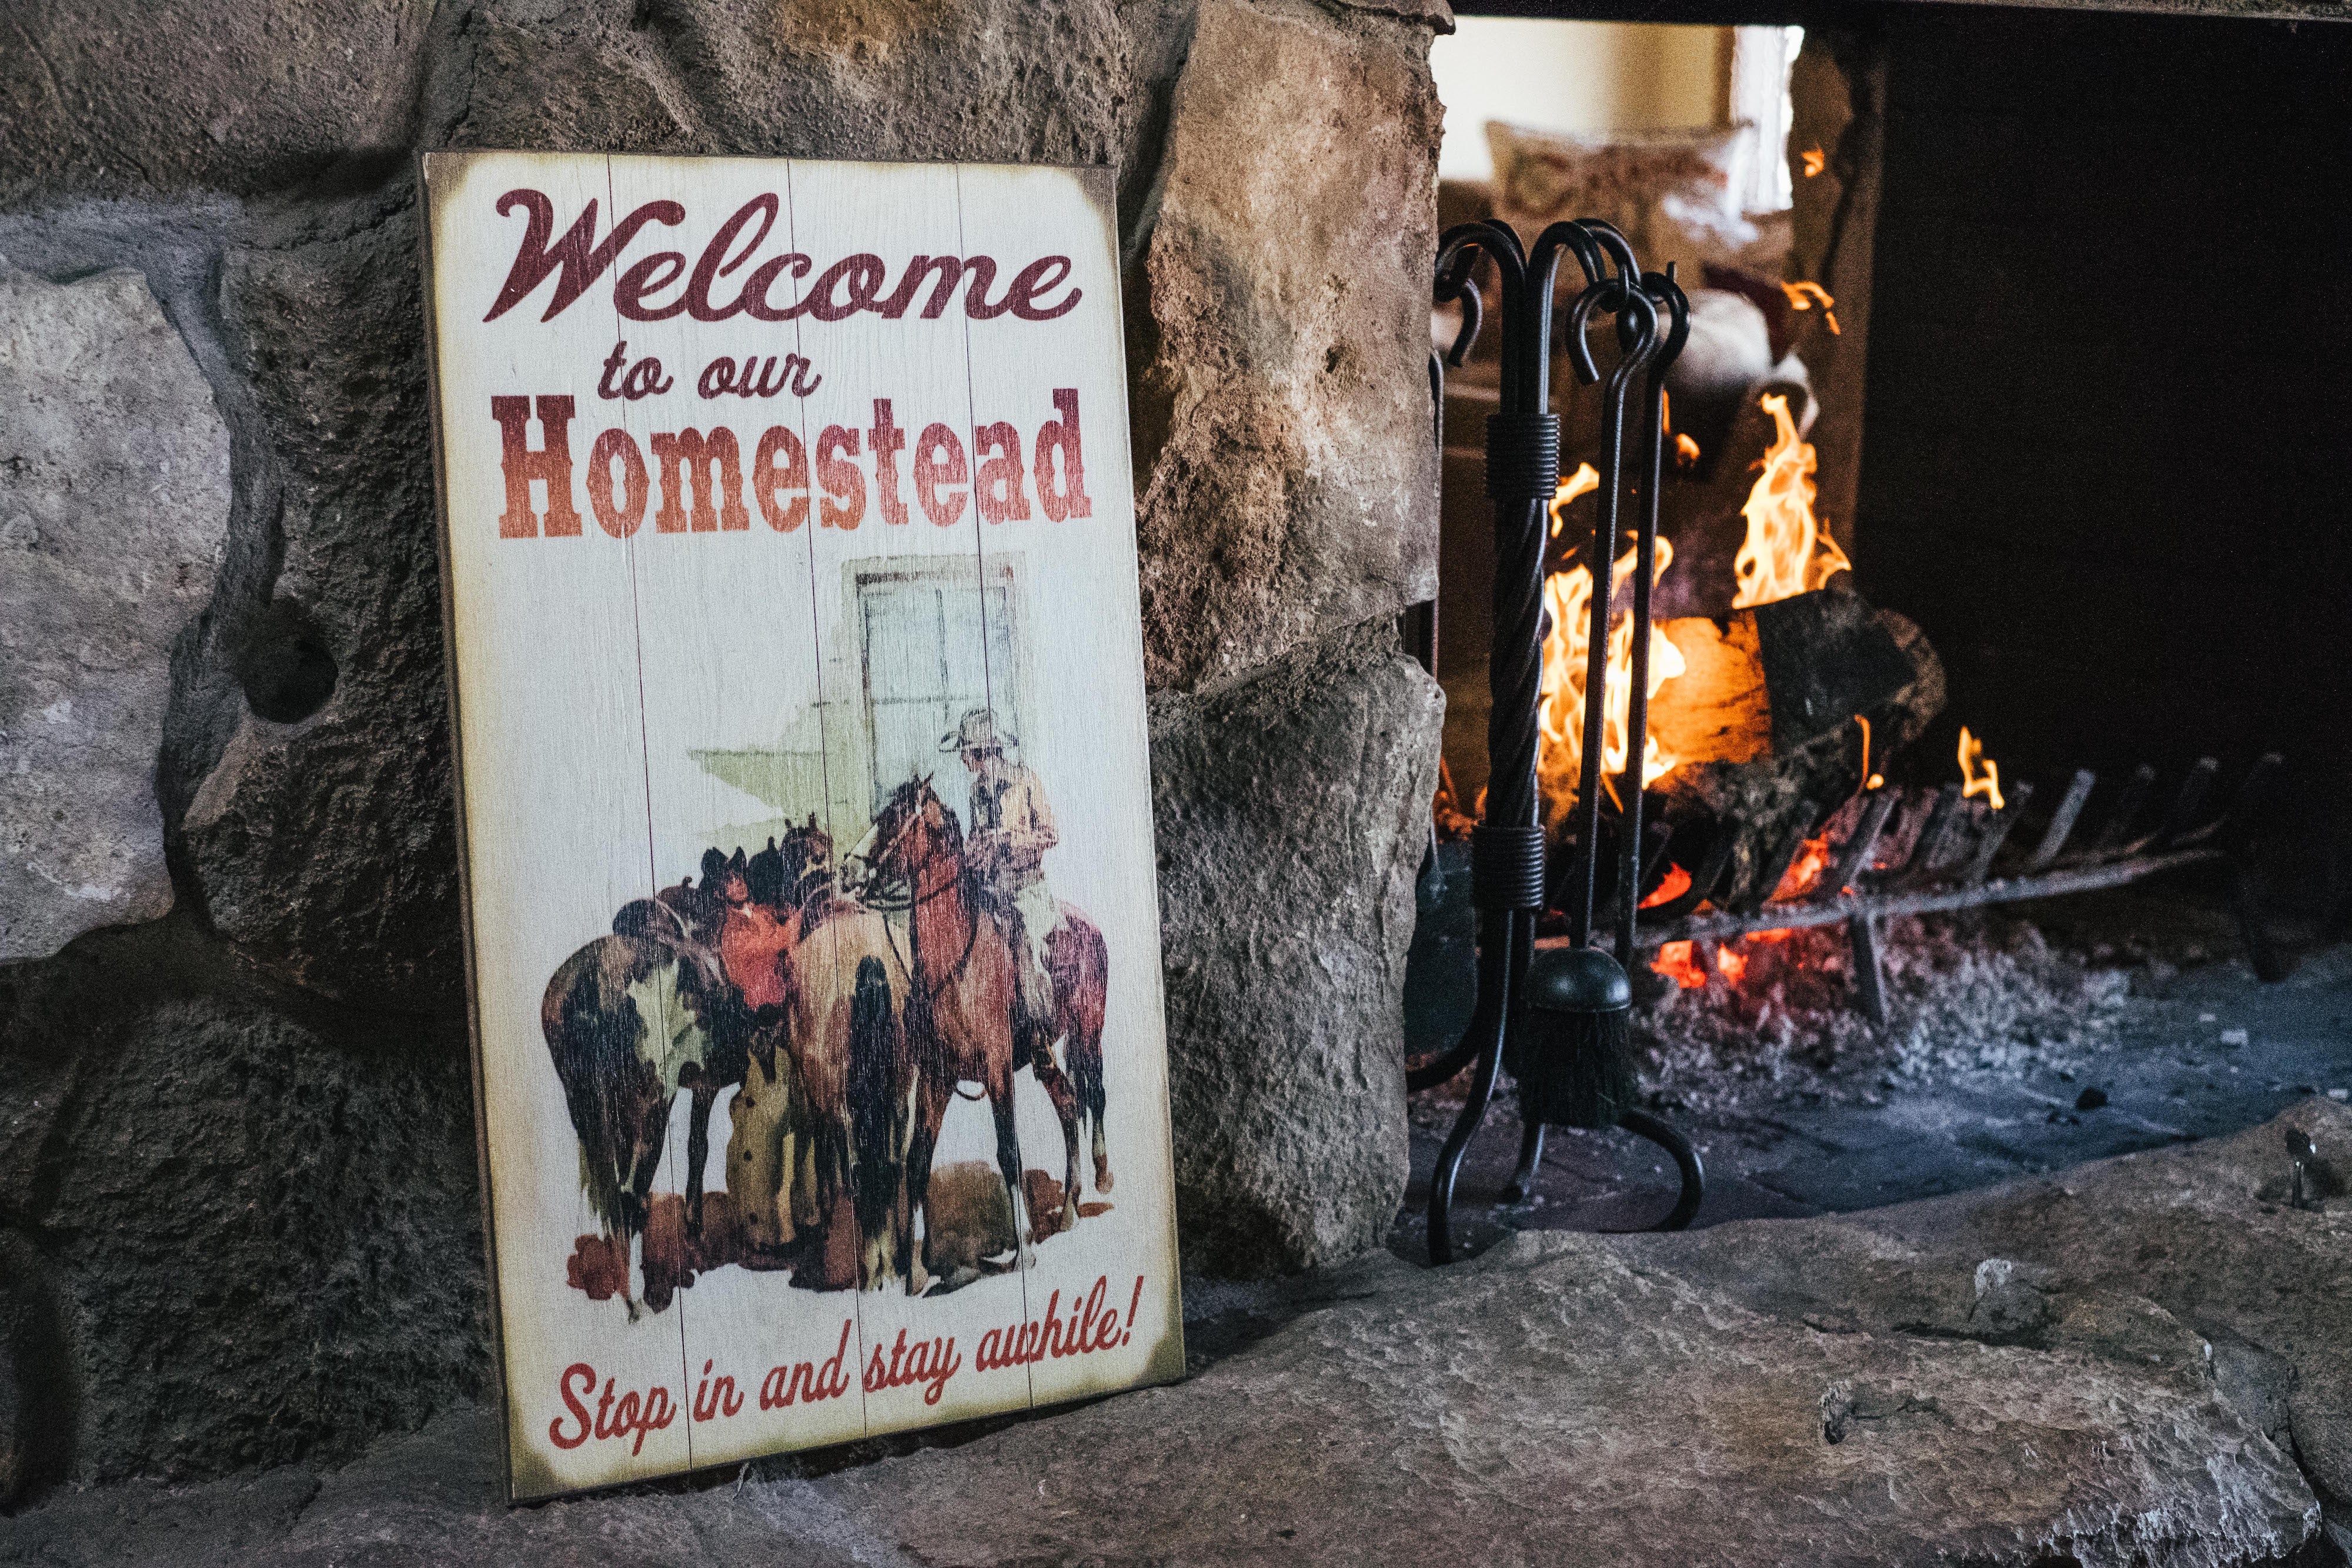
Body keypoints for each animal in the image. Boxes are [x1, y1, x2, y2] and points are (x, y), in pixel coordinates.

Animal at [870, 775, 1096, 1279]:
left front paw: (1024, 1249)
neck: (956, 961)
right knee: (1068, 1103)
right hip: (1045, 1057)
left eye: (895, 819)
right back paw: (1069, 1211)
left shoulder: (996, 1069)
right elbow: (917, 1160)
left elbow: (1009, 1151)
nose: (850, 870)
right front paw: (915, 1270)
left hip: (1089, 1035)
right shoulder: (936, 1077)